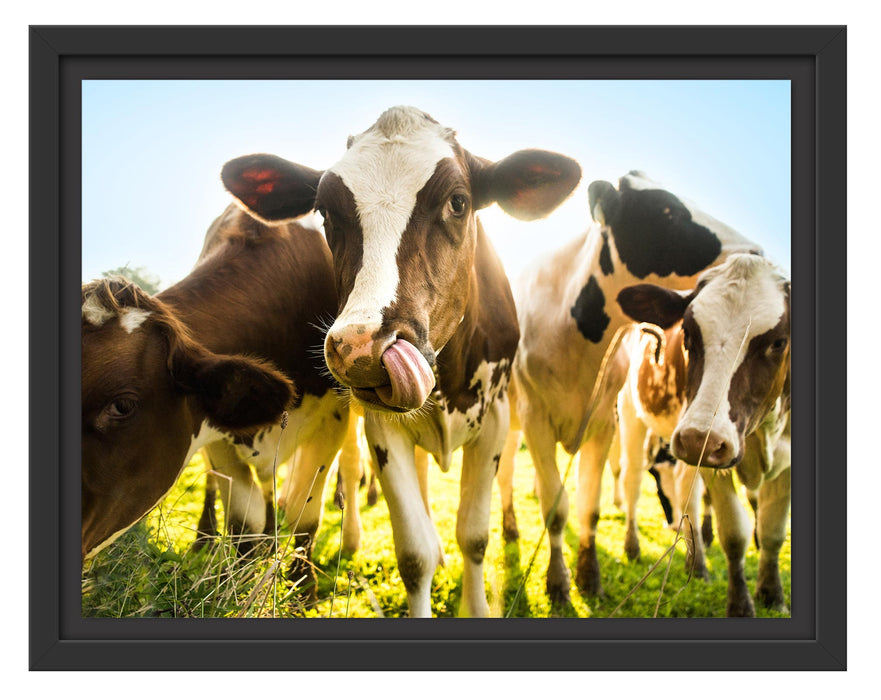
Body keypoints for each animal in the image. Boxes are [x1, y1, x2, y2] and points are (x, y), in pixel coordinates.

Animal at [83, 202, 364, 592]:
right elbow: (244, 521)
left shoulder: (331, 418)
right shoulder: (216, 427)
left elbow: (304, 513)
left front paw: (302, 590)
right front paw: (240, 580)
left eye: (122, 405)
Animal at [220, 105, 580, 616]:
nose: (362, 348)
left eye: (458, 202)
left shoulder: (494, 419)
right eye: (325, 212)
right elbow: (414, 553)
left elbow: (474, 537)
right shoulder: (382, 429)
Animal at [502, 172, 764, 604]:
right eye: (666, 210)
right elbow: (555, 507)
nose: (755, 251)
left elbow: (588, 505)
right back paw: (509, 528)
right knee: (505, 473)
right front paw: (557, 583)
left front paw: (589, 577)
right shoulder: (535, 418)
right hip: (507, 419)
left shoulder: (603, 421)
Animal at [616, 254, 796, 616]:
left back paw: (695, 564)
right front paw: (740, 604)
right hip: (633, 418)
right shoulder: (716, 462)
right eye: (687, 332)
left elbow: (772, 531)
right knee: (633, 482)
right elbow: (734, 534)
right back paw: (633, 547)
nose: (700, 439)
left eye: (778, 342)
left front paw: (772, 595)